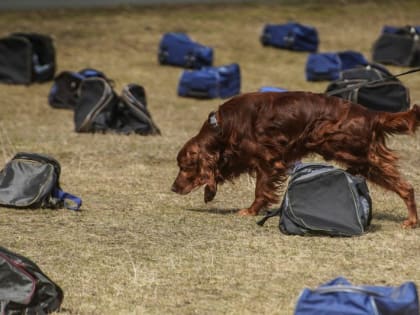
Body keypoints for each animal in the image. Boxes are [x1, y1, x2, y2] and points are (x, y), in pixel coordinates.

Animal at [171, 90, 420, 227]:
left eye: (184, 166)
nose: (173, 188)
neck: (222, 128)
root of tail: (371, 114)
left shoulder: (268, 160)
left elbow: (260, 190)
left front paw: (251, 210)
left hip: (357, 154)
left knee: (403, 185)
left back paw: (411, 219)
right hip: (361, 159)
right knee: (403, 186)